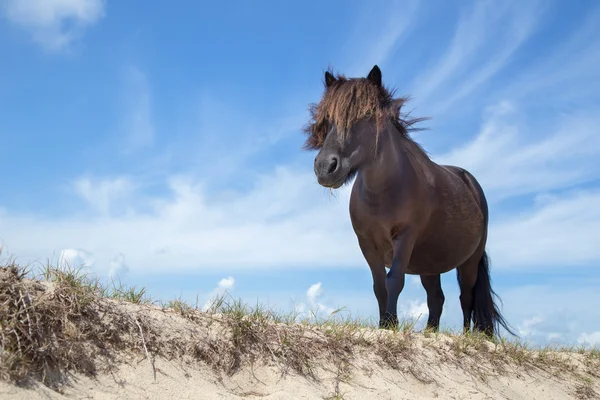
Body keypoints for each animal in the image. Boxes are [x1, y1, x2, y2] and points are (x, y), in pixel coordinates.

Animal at [302, 65, 512, 338]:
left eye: (366, 114)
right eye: (327, 118)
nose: (325, 167)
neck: (383, 193)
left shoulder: (405, 236)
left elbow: (394, 280)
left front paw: (392, 323)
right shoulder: (367, 243)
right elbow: (379, 284)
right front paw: (384, 324)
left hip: (469, 261)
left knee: (466, 297)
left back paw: (466, 335)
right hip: (429, 264)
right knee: (437, 298)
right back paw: (431, 332)